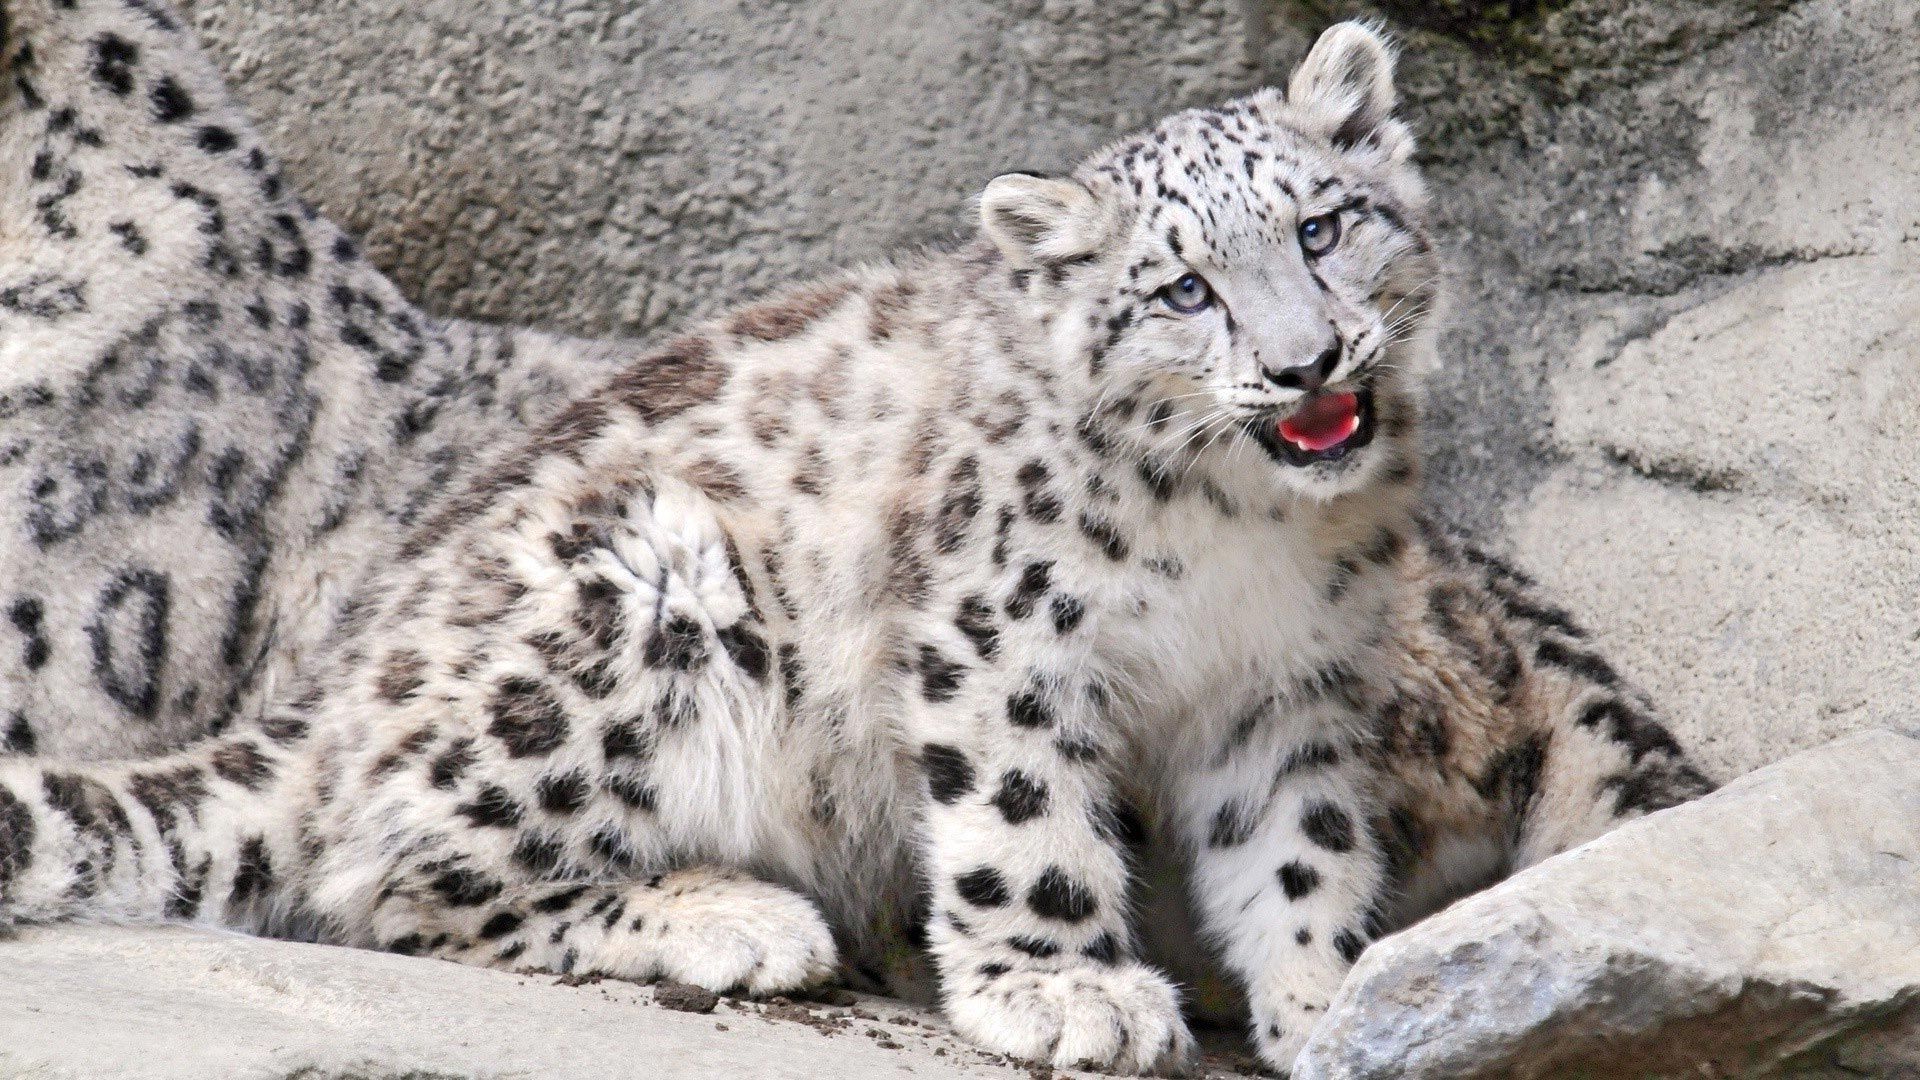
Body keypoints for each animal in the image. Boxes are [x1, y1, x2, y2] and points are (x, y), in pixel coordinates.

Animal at [0, 21, 1712, 1068]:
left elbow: (1294, 850)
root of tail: (339, 692)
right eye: (1181, 290)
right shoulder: (999, 633)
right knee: (392, 876)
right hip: (637, 588)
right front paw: (1070, 990)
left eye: (1322, 226)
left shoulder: (1285, 691)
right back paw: (733, 918)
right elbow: (1023, 821)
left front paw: (1328, 999)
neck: (1242, 542)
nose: (1306, 366)